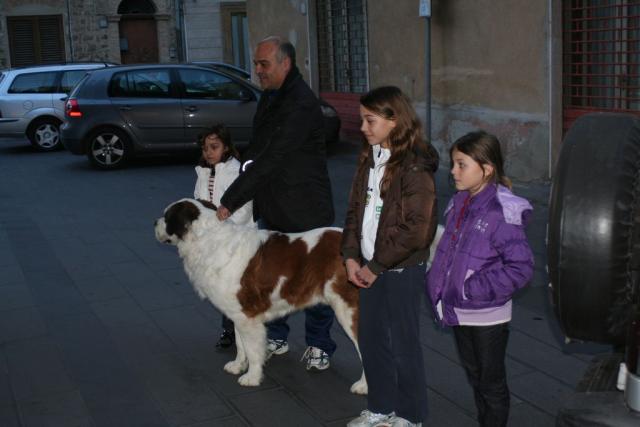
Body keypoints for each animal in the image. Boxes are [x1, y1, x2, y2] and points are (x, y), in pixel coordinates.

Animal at [155, 198, 368, 394]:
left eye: (167, 217)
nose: (154, 222)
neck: (207, 240)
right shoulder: (239, 314)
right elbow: (241, 345)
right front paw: (237, 365)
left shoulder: (249, 317)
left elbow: (252, 349)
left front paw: (252, 377)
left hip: (347, 308)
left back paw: (363, 386)